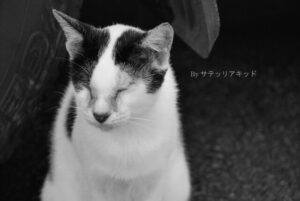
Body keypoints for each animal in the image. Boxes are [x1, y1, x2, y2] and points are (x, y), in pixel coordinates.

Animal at [40, 9, 190, 201]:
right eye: (87, 87)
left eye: (122, 89)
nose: (100, 115)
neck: (124, 139)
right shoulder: (95, 182)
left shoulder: (153, 182)